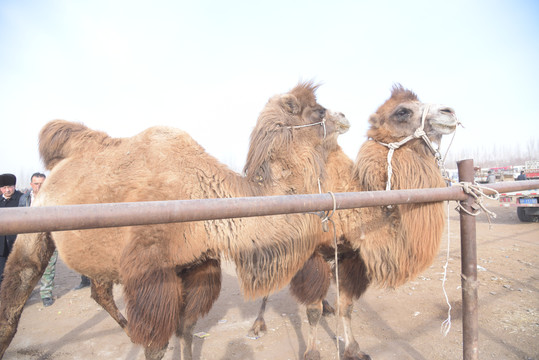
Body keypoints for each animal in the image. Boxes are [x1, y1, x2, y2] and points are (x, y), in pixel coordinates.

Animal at [0, 82, 350, 360]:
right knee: (17, 295)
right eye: (318, 110)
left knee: (99, 291)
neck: (204, 192)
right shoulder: (151, 269)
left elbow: (186, 328)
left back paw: (126, 330)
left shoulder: (197, 264)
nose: (345, 116)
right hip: (35, 225)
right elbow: (157, 344)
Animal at [247, 85, 458, 360]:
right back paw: (258, 324)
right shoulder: (311, 254)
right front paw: (312, 352)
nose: (449, 111)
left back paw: (326, 306)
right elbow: (311, 311)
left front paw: (353, 349)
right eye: (402, 111)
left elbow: (346, 307)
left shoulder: (349, 255)